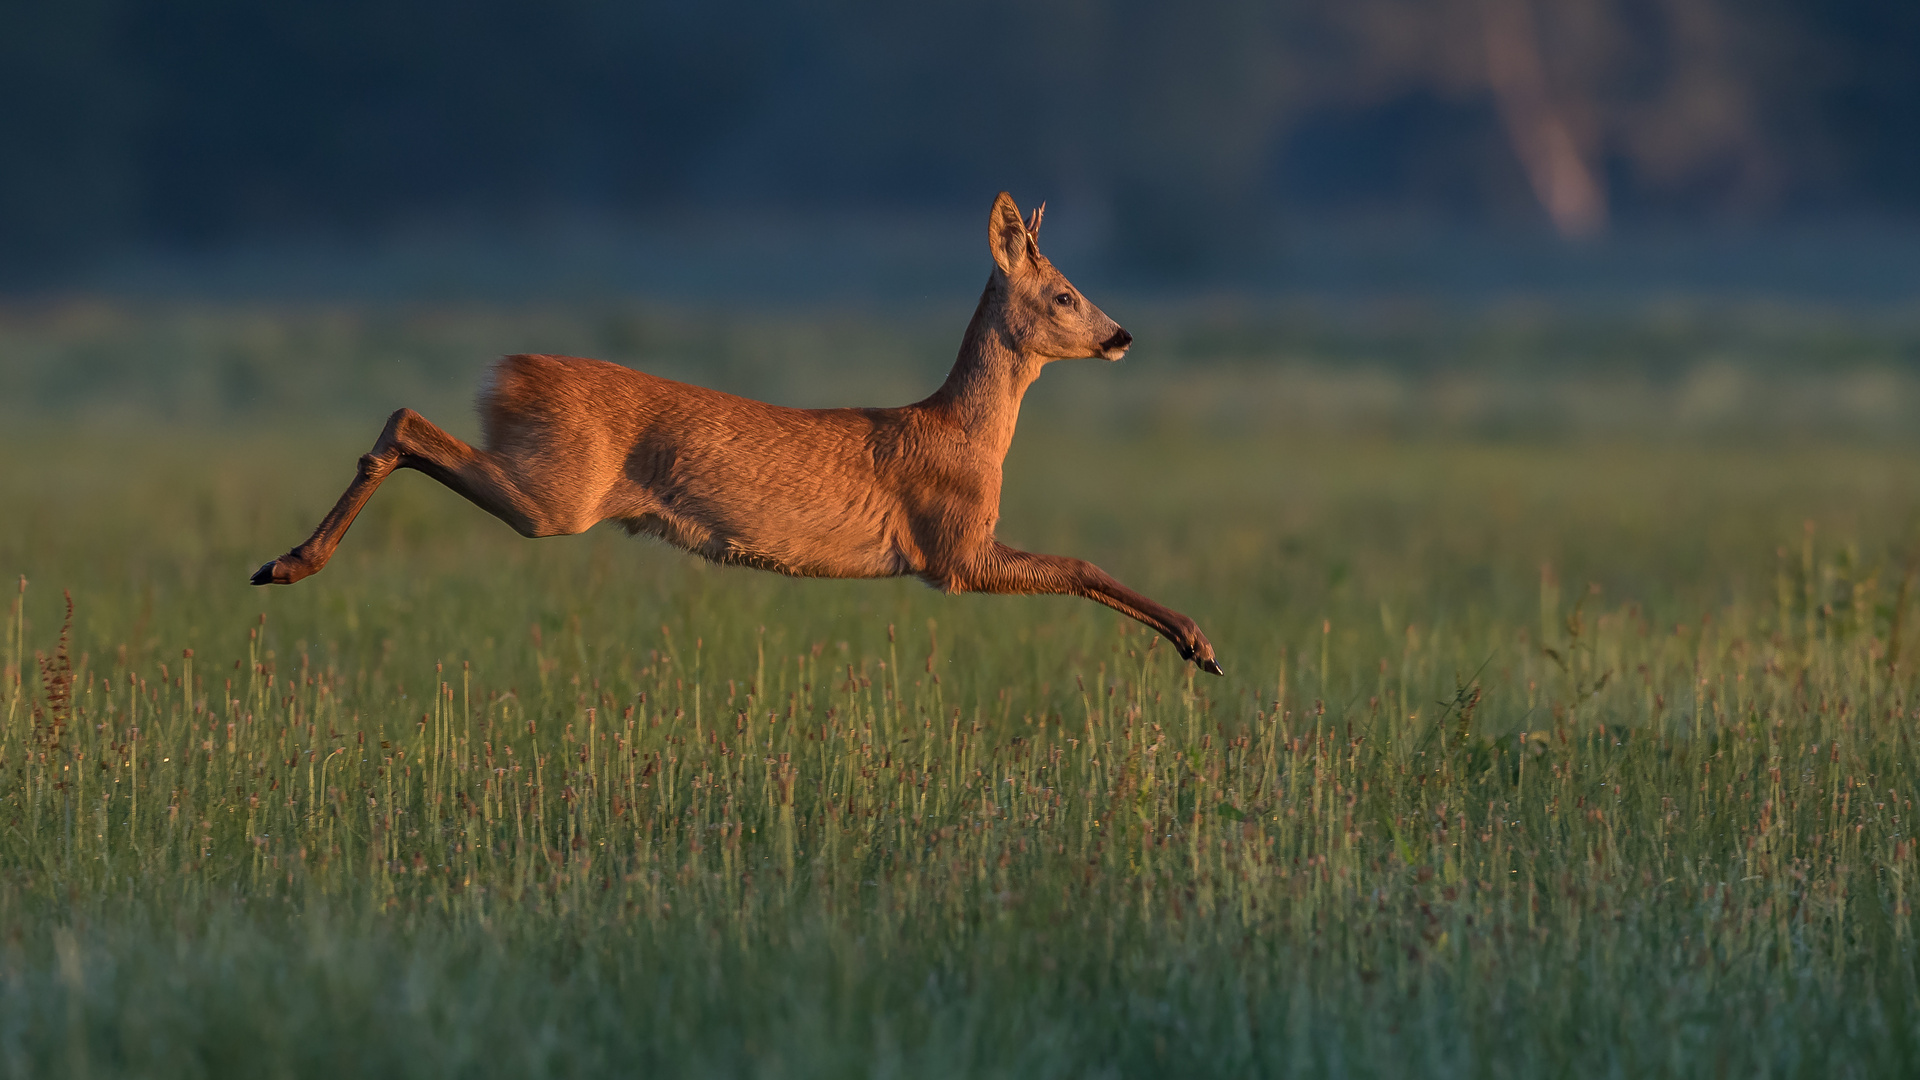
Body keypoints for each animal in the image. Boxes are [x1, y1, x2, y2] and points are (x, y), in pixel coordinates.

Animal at [251, 189, 1228, 668]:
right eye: (1063, 294)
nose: (1121, 335)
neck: (964, 434)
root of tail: (509, 373)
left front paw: (1197, 644)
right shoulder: (952, 549)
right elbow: (1082, 564)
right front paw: (1197, 642)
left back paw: (282, 561)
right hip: (557, 492)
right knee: (408, 419)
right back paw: (286, 563)